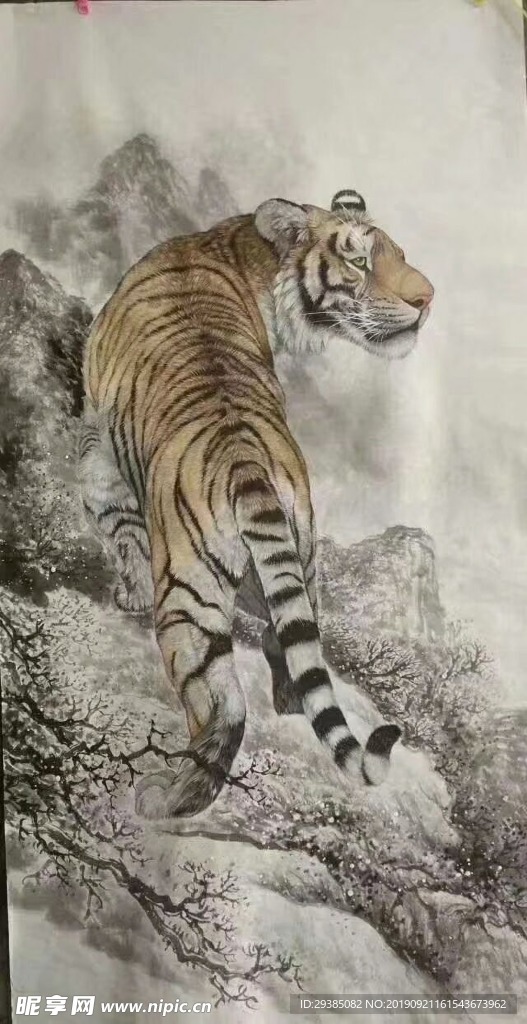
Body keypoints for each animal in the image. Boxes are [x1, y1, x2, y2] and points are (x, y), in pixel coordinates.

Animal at [79, 188, 434, 820]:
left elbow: (118, 526)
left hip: (189, 598)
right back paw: (288, 704)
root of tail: (244, 461)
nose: (427, 299)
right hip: (298, 556)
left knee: (224, 708)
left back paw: (165, 802)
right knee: (290, 641)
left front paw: (129, 594)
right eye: (361, 261)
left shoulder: (100, 450)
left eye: (398, 254)